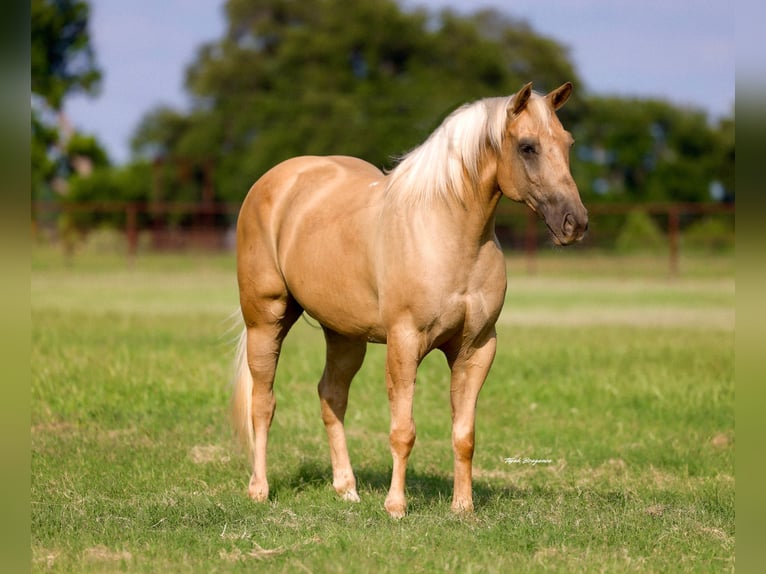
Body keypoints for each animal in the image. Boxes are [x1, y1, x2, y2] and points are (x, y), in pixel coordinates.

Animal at [231, 82, 588, 518]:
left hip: (344, 334)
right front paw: (396, 506)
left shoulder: (476, 347)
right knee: (263, 402)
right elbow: (403, 431)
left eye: (567, 143)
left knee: (331, 396)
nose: (575, 223)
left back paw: (346, 488)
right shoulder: (404, 342)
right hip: (266, 320)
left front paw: (462, 506)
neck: (447, 231)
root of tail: (276, 180)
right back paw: (259, 489)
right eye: (527, 147)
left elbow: (464, 433)